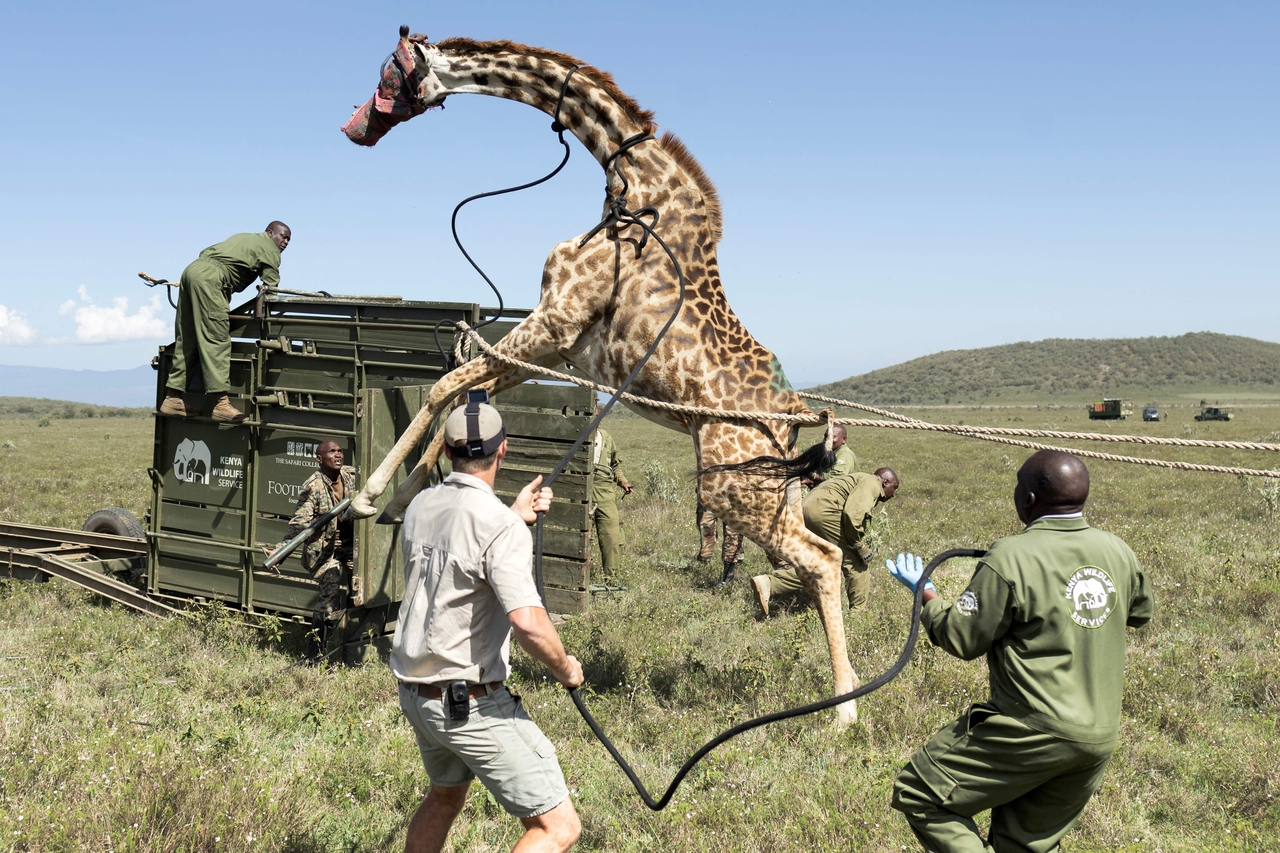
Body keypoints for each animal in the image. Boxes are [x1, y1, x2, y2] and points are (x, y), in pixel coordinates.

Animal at [341, 29, 861, 727]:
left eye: (388, 76)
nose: (354, 129)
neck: (631, 187)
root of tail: (802, 417)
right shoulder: (564, 346)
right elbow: (463, 396)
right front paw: (405, 498)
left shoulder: (557, 319)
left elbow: (447, 387)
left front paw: (371, 496)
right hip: (769, 487)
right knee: (811, 556)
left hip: (729, 484)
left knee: (823, 559)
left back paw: (844, 709)